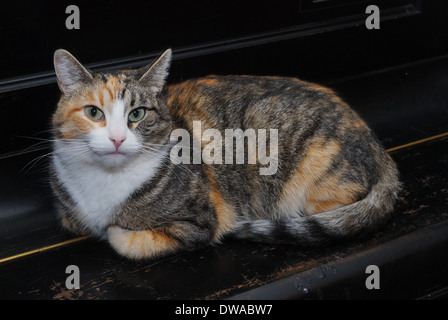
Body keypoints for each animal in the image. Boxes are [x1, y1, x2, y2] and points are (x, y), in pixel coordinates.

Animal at [50, 49, 400, 260]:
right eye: (94, 112)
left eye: (137, 114)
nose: (117, 138)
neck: (106, 180)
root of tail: (380, 150)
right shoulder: (69, 213)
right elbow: (79, 223)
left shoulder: (198, 222)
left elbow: (125, 241)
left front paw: (116, 230)